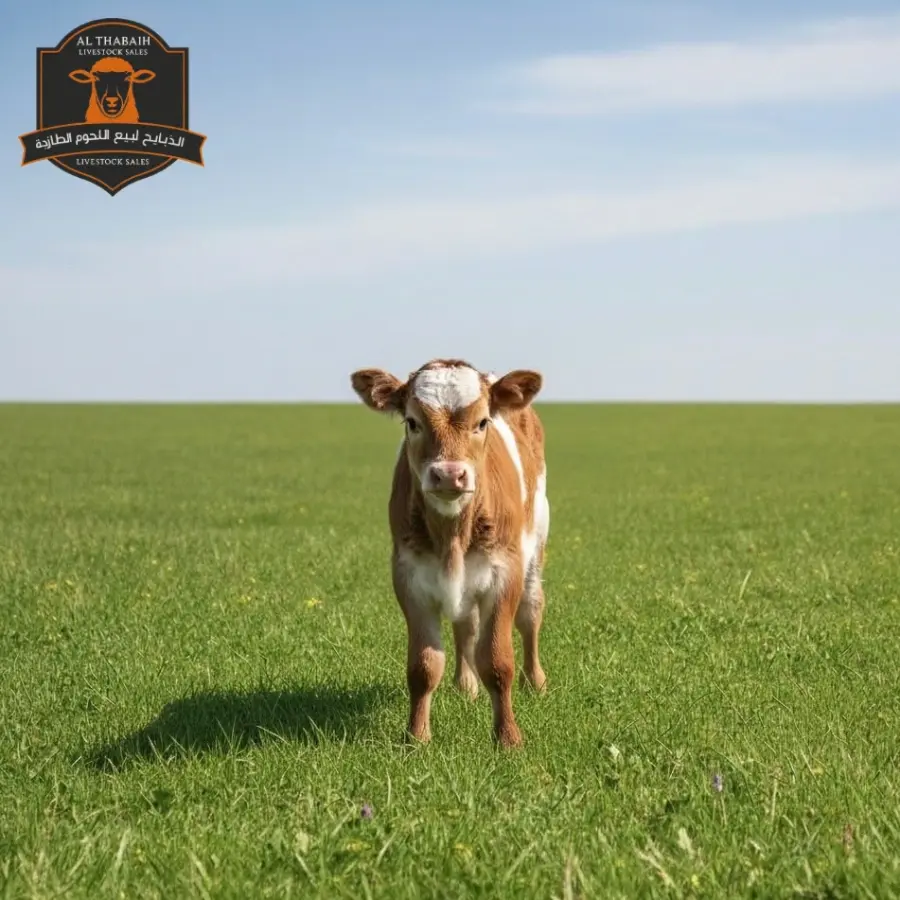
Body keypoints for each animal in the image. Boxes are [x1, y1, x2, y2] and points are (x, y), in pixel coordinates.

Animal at [350, 359, 550, 748]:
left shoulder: (505, 573)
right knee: (465, 626)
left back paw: (535, 681)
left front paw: (508, 738)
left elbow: (497, 661)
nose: (448, 474)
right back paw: (465, 685)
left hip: (536, 547)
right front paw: (417, 737)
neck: (452, 535)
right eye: (412, 422)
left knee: (531, 614)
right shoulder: (409, 577)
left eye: (482, 421)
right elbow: (424, 665)